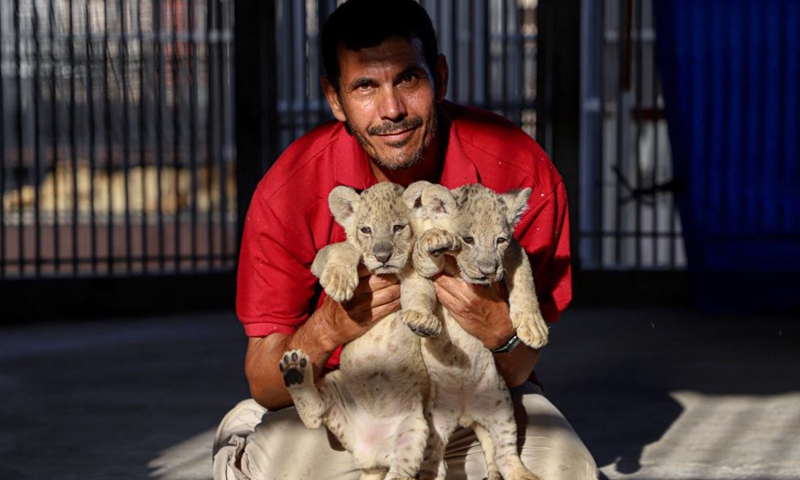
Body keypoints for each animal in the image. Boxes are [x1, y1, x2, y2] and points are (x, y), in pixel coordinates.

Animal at [278, 182, 439, 480]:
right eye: (366, 230)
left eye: (398, 227)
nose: (383, 256)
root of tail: (369, 455)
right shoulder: (320, 259)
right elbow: (343, 249)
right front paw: (339, 282)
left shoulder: (415, 276)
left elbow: (421, 295)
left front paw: (423, 320)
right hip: (333, 387)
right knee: (314, 415)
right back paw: (294, 370)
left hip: (414, 430)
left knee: (400, 472)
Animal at [404, 181, 548, 480]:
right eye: (468, 240)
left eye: (499, 240)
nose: (487, 271)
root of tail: (466, 413)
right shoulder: (424, 266)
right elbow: (423, 253)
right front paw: (435, 239)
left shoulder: (515, 253)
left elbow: (525, 281)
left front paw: (533, 328)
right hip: (433, 424)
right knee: (433, 461)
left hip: (502, 410)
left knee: (505, 456)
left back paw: (524, 475)